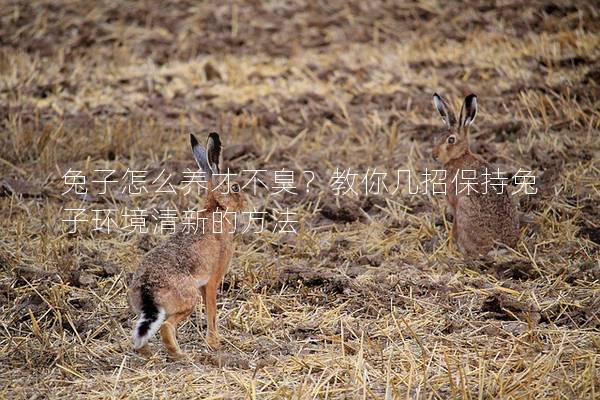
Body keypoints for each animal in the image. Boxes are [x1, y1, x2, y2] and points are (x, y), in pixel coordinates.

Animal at [127, 132, 247, 360]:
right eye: (235, 188)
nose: (245, 204)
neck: (216, 208)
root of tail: (148, 290)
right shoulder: (212, 280)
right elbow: (212, 312)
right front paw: (214, 343)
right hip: (188, 299)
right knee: (166, 326)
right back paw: (180, 355)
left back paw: (149, 354)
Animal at [432, 93, 520, 256]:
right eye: (437, 138)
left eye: (451, 140)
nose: (434, 155)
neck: (459, 156)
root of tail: (498, 246)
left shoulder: (454, 202)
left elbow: (454, 226)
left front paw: (450, 241)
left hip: (465, 207)